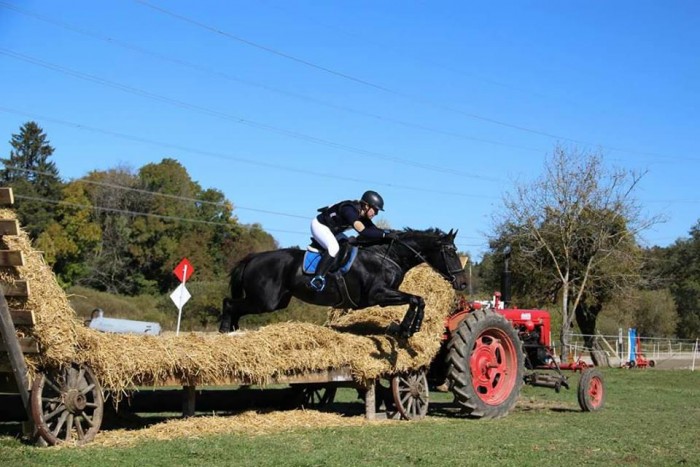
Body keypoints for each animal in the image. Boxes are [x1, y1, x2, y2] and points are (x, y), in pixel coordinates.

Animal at [221, 229, 468, 338]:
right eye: (449, 252)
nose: (463, 283)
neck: (388, 255)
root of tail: (253, 258)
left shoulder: (388, 293)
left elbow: (418, 299)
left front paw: (409, 327)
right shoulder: (378, 295)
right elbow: (416, 299)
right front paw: (409, 327)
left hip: (276, 301)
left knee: (236, 307)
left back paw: (233, 332)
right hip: (265, 301)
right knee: (230, 303)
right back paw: (225, 330)